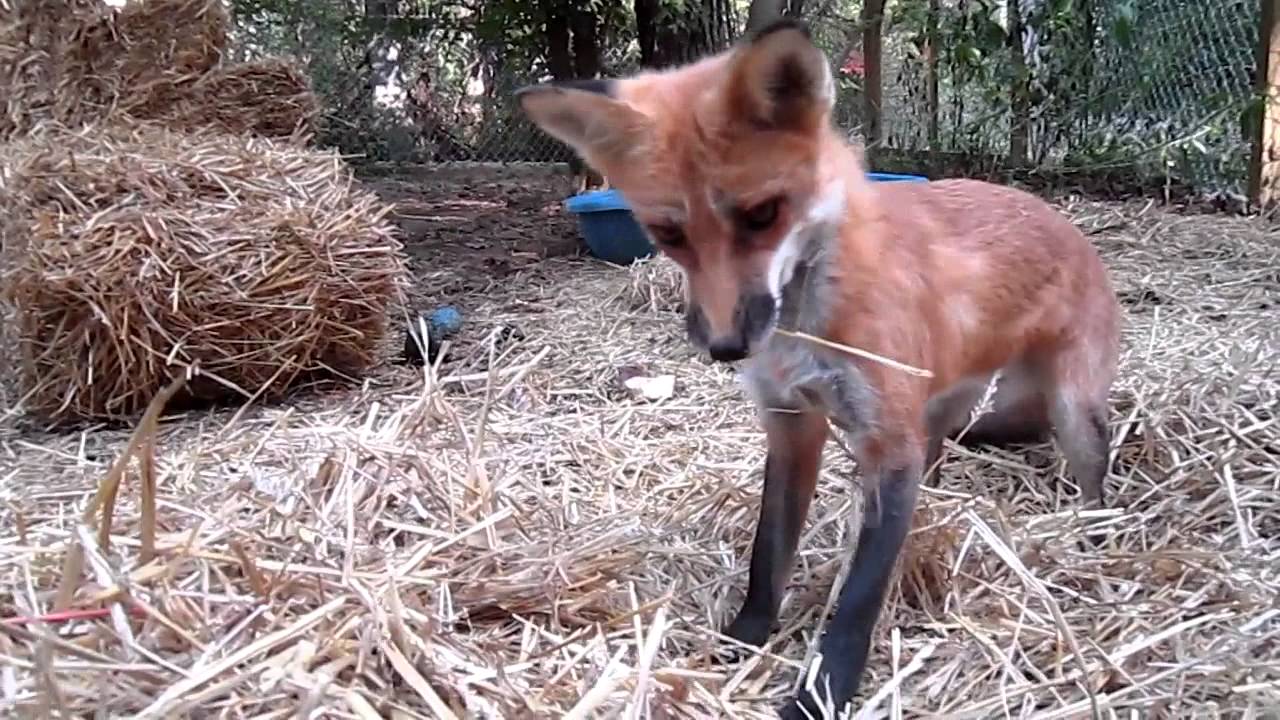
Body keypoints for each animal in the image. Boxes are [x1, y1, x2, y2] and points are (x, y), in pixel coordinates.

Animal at [516, 19, 1121, 719]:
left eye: (761, 214)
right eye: (668, 234)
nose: (727, 346)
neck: (805, 330)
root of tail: (1064, 221)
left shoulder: (886, 441)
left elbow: (859, 598)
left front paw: (822, 691)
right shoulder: (791, 421)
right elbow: (768, 553)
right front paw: (746, 638)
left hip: (1071, 412)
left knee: (1091, 475)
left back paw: (1094, 539)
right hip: (940, 404)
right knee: (944, 446)